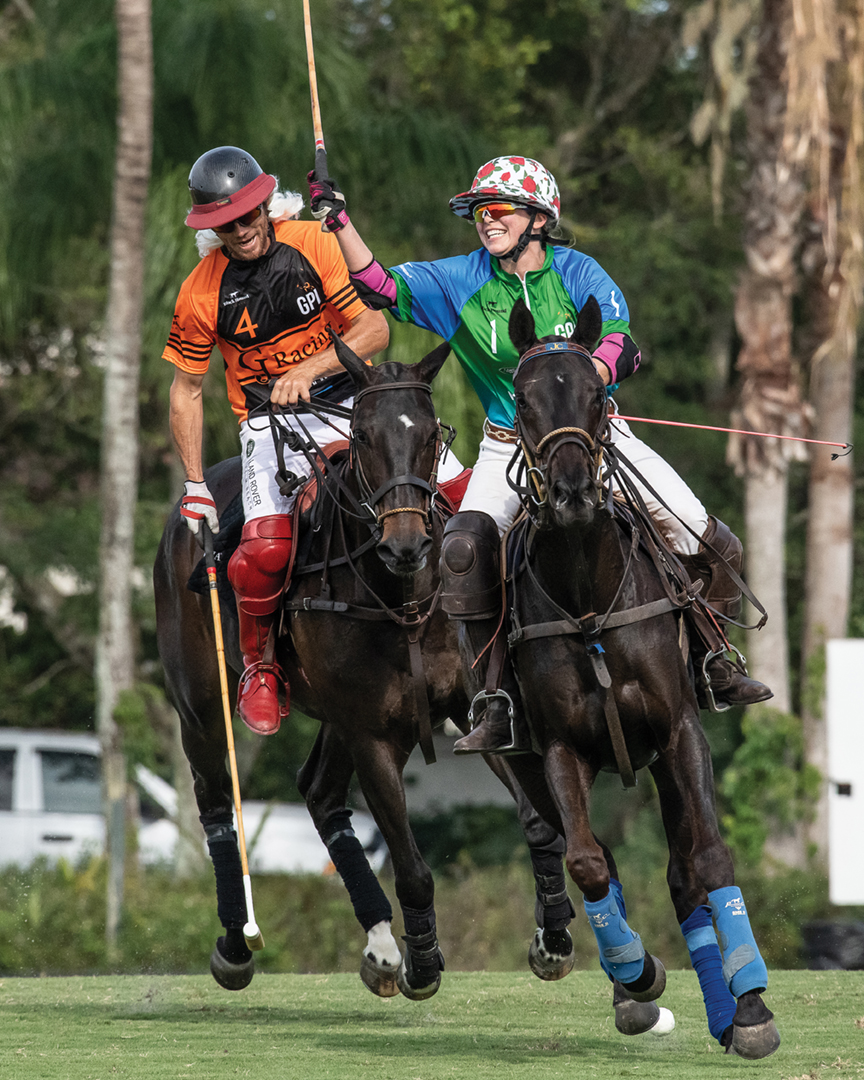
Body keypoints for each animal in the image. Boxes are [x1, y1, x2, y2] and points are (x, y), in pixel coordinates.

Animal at [153, 339, 578, 1002]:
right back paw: (236, 943)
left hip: (340, 715)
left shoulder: (468, 711)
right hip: (200, 704)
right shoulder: (374, 734)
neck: (404, 596)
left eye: (431, 433)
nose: (406, 543)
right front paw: (423, 964)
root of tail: (179, 517)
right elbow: (414, 868)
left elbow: (539, 823)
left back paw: (379, 945)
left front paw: (552, 937)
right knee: (216, 802)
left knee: (320, 792)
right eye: (363, 434)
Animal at [496, 298, 777, 1062]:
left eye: (599, 394)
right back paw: (631, 986)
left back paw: (730, 1009)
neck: (589, 593)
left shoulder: (680, 730)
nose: (570, 494)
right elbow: (589, 863)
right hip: (519, 759)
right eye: (523, 399)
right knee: (595, 857)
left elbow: (709, 859)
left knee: (683, 876)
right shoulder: (561, 750)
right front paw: (639, 973)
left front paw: (752, 1011)